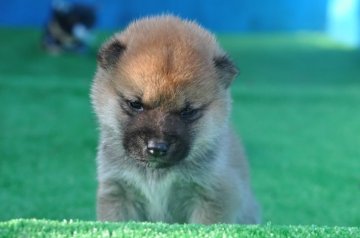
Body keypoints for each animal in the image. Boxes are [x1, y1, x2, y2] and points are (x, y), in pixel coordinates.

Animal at [90, 15, 258, 225]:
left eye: (187, 111)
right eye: (135, 104)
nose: (157, 148)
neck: (156, 174)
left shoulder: (212, 195)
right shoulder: (118, 191)